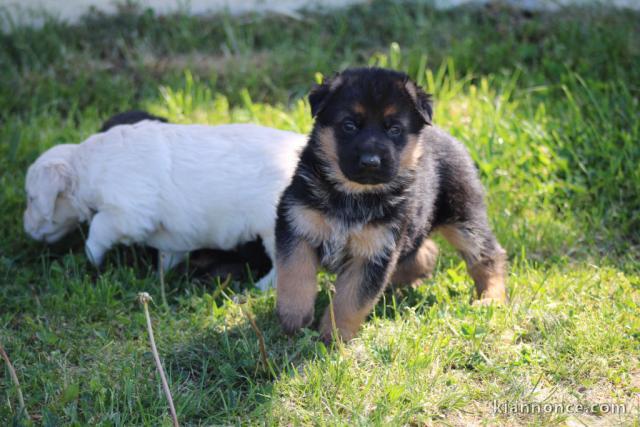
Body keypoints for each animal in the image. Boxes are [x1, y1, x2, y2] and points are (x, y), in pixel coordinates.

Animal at [24, 122, 304, 290]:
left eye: (31, 198)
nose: (26, 229)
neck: (88, 165)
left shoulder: (128, 212)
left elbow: (98, 229)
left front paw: (91, 258)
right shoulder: (173, 234)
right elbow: (169, 252)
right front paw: (160, 277)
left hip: (274, 228)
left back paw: (262, 286)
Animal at [274, 67, 504, 342]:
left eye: (394, 129)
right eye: (349, 125)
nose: (370, 162)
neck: (353, 196)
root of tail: (444, 135)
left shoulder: (374, 252)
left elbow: (350, 301)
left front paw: (335, 337)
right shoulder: (297, 224)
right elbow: (294, 274)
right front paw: (294, 318)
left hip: (464, 217)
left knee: (488, 255)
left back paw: (492, 299)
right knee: (427, 251)